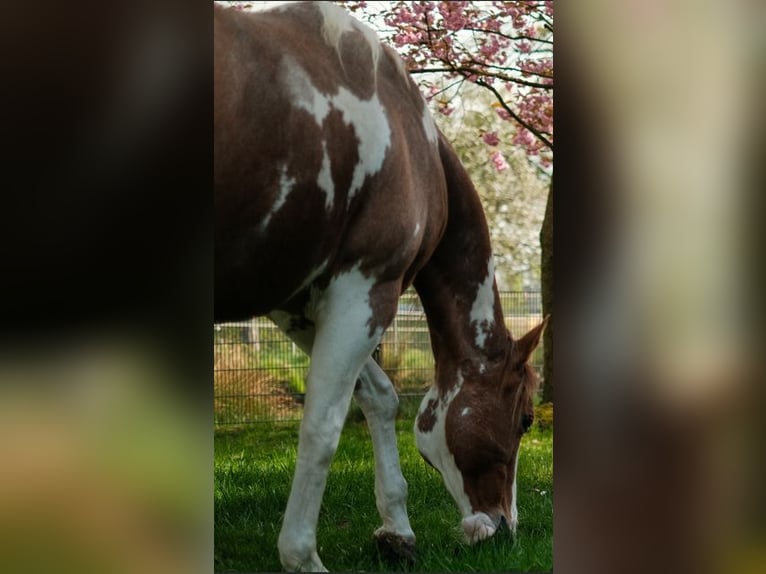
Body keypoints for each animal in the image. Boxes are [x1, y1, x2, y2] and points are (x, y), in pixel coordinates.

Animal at [214, 2, 547, 571]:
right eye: (525, 420)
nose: (502, 528)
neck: (413, 141)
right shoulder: (365, 289)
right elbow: (323, 426)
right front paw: (302, 557)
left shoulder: (300, 304)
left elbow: (380, 395)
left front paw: (397, 529)